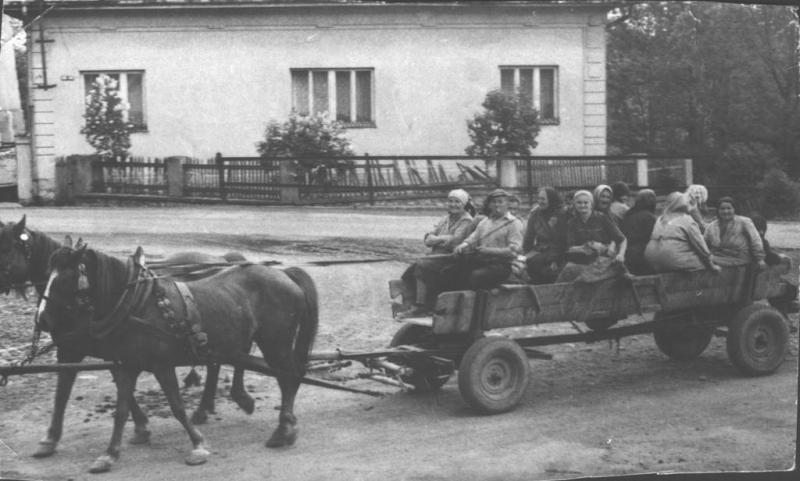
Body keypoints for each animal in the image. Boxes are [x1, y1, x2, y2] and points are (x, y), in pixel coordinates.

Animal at [0, 217, 255, 458]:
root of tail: (224, 260)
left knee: (227, 358)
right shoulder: (93, 350)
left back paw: (225, 402)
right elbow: (78, 388)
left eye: (6, 249)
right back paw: (207, 407)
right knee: (217, 361)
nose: (42, 320)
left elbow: (65, 392)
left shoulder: (80, 350)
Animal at [37, 242, 318, 470]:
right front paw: (110, 453)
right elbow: (121, 409)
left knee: (289, 378)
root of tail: (284, 274)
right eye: (46, 276)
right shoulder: (126, 364)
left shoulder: (161, 365)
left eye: (64, 279)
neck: (136, 304)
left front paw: (198, 445)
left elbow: (177, 406)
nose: (42, 320)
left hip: (276, 343)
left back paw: (283, 429)